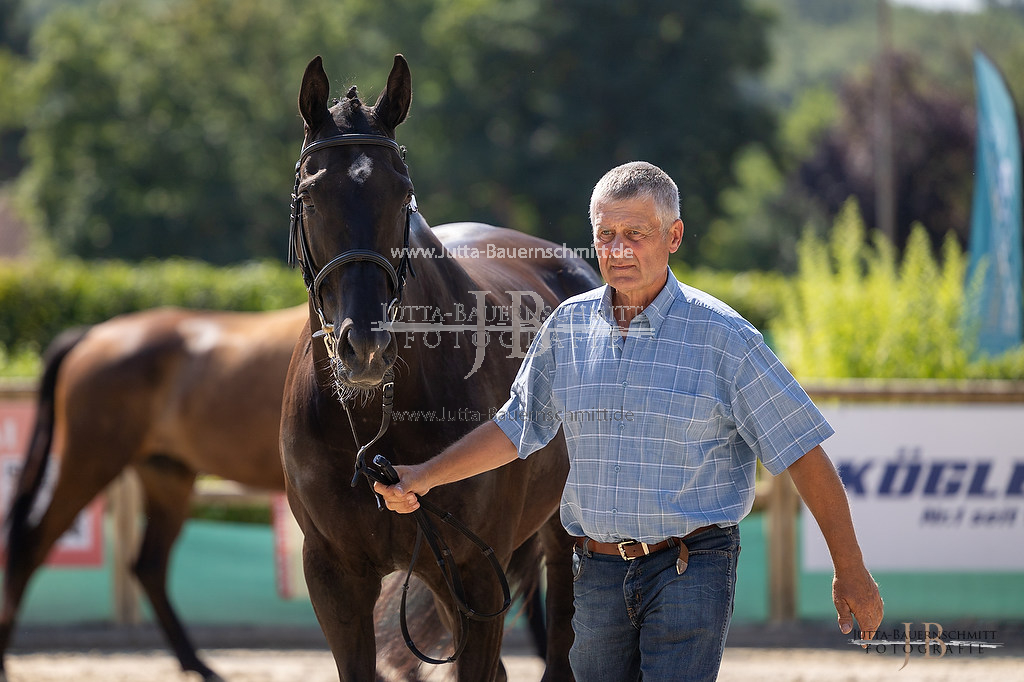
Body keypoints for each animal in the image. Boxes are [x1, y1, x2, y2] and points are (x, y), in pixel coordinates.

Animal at [280, 54, 598, 679]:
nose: (365, 348)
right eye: (311, 193)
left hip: (560, 536)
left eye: (402, 195)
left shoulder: (476, 574)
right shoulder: (335, 577)